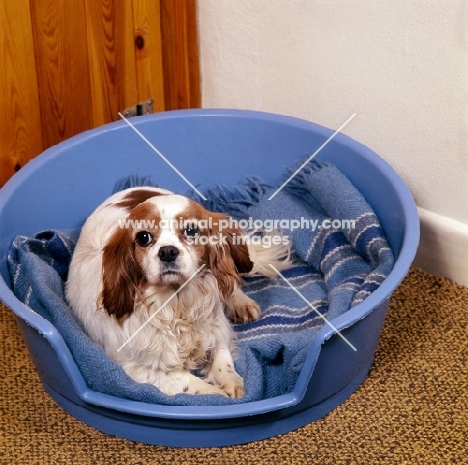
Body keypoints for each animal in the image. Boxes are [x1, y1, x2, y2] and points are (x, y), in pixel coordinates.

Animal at [64, 187, 290, 396]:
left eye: (191, 231)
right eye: (143, 237)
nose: (167, 251)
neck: (177, 303)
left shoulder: (217, 329)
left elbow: (222, 359)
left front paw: (233, 384)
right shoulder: (135, 369)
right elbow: (192, 384)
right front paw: (222, 397)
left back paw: (243, 303)